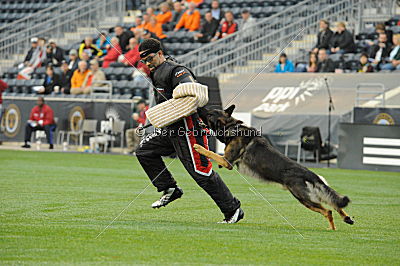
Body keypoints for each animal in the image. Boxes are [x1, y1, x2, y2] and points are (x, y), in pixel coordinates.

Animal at [195, 105, 354, 230]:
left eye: (210, 114)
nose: (197, 108)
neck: (231, 127)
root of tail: (309, 173)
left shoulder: (226, 161)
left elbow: (211, 152)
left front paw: (198, 147)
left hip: (303, 198)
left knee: (328, 211)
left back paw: (332, 229)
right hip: (313, 194)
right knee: (335, 203)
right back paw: (346, 218)